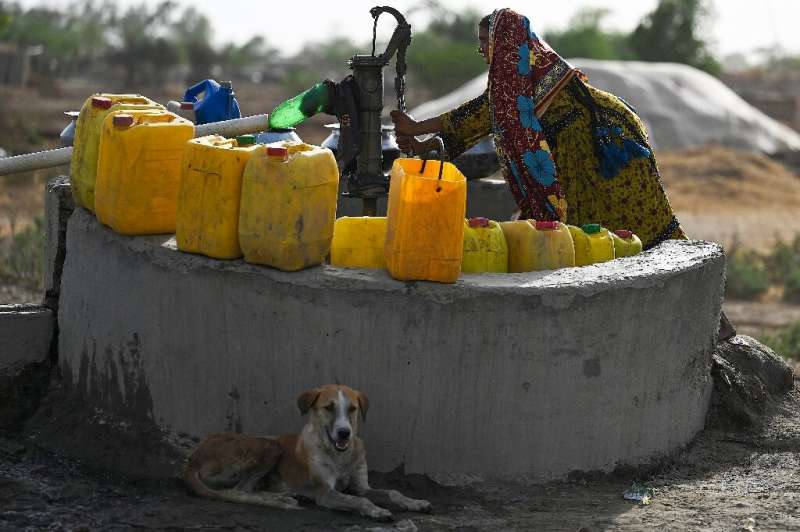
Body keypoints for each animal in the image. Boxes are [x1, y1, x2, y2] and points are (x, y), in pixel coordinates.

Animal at [184, 384, 432, 520]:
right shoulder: (326, 493)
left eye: (352, 409)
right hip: (269, 444)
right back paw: (282, 499)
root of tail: (193, 459)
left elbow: (392, 492)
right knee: (238, 491)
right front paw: (377, 511)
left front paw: (415, 502)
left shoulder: (361, 486)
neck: (340, 455)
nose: (344, 433)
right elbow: (359, 500)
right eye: (329, 408)